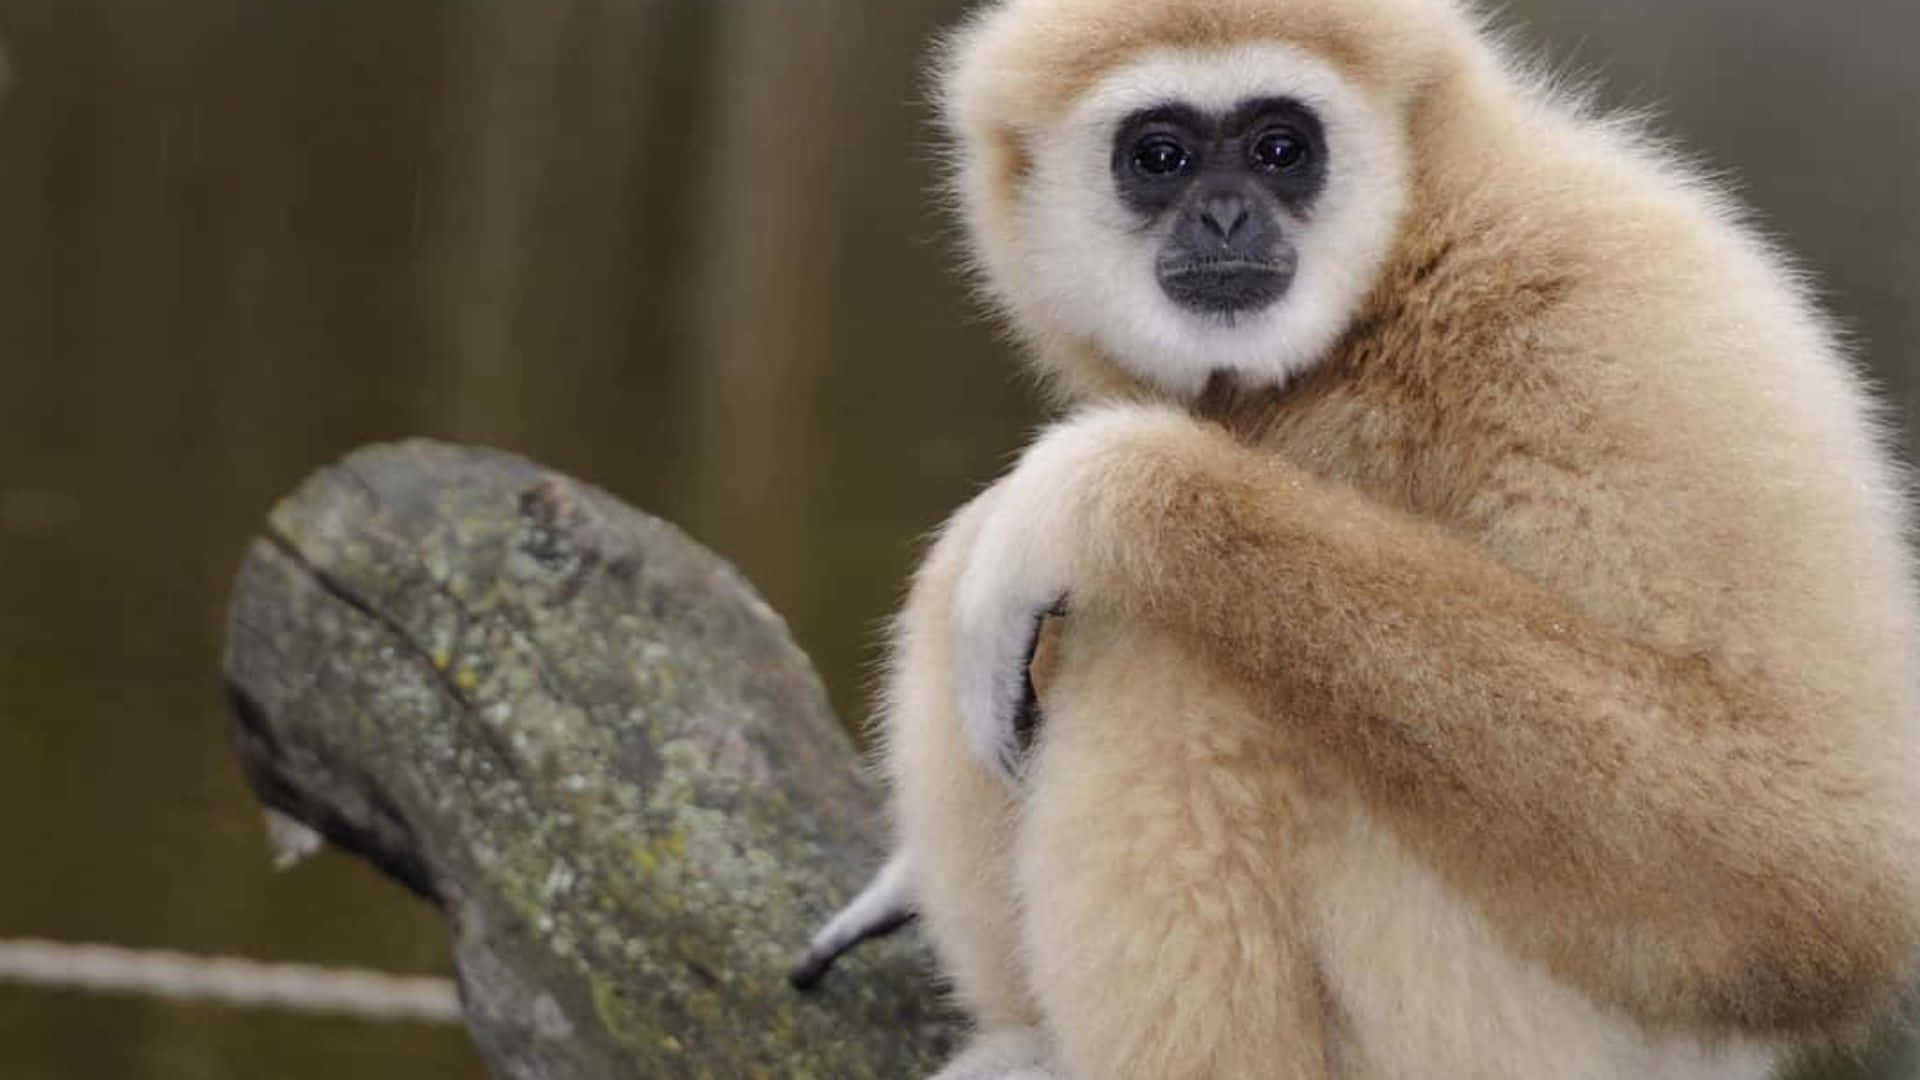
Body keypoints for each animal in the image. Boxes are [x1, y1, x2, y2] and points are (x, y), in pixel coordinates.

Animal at [797, 0, 1920, 1076]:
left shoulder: (1609, 316)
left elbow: (1817, 864)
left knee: (1163, 655)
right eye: (1159, 157)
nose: (1225, 212)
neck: (1394, 282)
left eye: (1281, 148)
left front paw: (1097, 490)